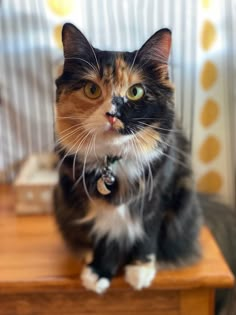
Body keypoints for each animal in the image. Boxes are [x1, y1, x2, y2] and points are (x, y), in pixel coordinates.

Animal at [53, 23, 201, 296]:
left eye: (135, 92)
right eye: (92, 90)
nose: (112, 115)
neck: (114, 164)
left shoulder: (157, 196)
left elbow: (147, 234)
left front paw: (140, 270)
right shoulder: (94, 205)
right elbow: (104, 235)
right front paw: (99, 271)